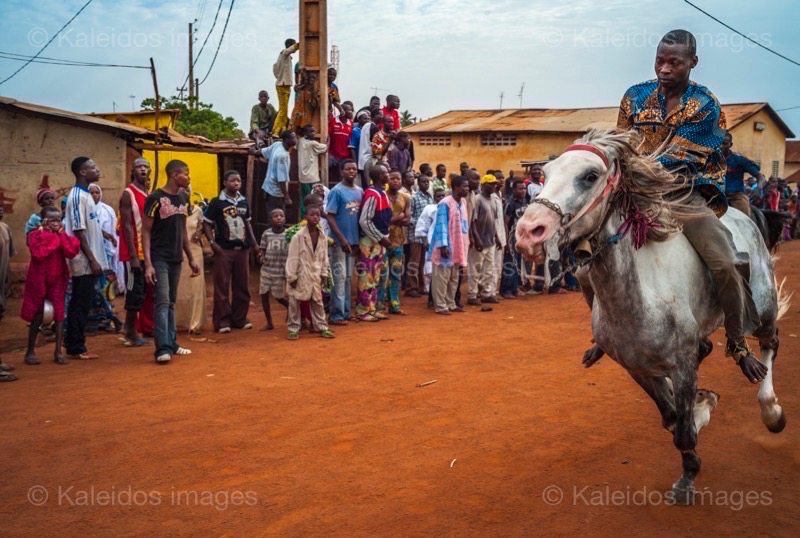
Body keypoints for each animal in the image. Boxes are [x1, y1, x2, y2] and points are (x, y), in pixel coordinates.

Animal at [512, 129, 788, 502]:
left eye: (590, 176)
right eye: (544, 174)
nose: (528, 232)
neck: (639, 295)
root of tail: (746, 215)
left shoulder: (682, 364)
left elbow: (683, 430)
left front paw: (687, 477)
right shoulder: (637, 368)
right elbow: (672, 419)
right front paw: (701, 411)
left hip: (763, 306)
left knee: (769, 344)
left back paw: (771, 408)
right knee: (709, 350)